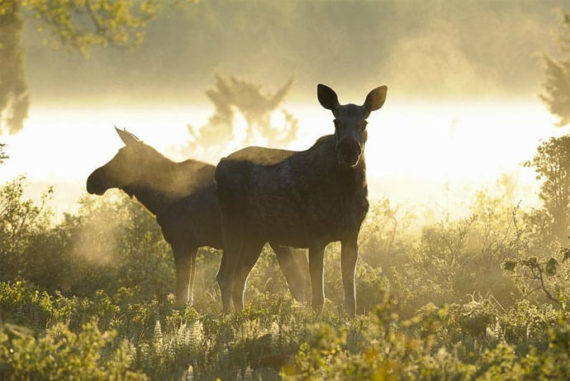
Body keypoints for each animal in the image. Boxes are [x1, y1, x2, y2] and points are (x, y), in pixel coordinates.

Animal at [85, 129, 306, 308]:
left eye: (121, 157)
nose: (91, 180)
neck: (158, 199)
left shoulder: (181, 242)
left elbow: (182, 296)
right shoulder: (192, 246)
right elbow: (189, 296)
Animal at [214, 84, 386, 314]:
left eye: (364, 122)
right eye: (336, 122)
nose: (349, 150)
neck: (347, 191)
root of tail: (219, 165)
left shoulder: (351, 235)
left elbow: (351, 297)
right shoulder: (316, 236)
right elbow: (318, 297)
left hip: (256, 235)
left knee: (239, 279)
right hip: (233, 224)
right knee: (225, 277)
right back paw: (228, 317)